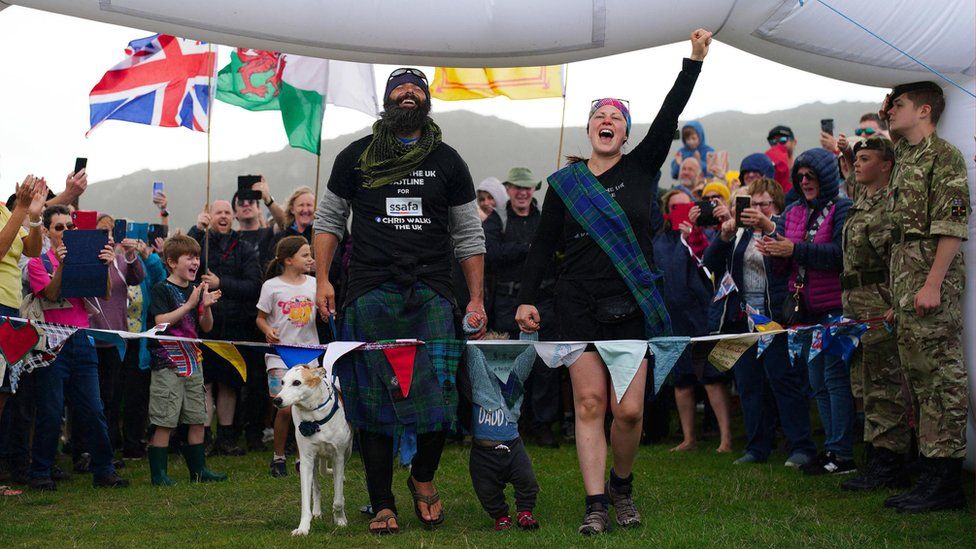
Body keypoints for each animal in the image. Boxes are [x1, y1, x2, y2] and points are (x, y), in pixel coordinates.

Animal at [272, 364, 352, 536]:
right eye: (282, 382)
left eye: (297, 382)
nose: (276, 400)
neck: (315, 417)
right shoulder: (306, 460)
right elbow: (306, 499)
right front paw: (303, 528)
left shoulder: (338, 457)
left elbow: (337, 498)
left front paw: (340, 520)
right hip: (314, 461)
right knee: (316, 486)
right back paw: (316, 511)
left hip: (347, 452)